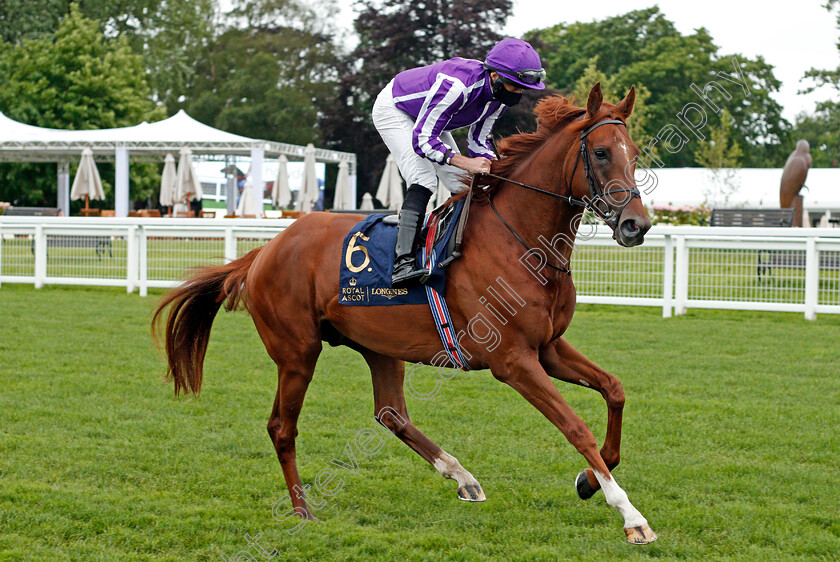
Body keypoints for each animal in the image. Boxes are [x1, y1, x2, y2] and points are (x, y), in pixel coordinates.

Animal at [154, 84, 660, 544]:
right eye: (600, 152)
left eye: (634, 153)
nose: (636, 225)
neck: (521, 243)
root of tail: (264, 251)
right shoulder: (514, 361)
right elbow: (576, 427)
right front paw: (632, 517)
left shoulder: (548, 347)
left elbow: (614, 390)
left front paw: (589, 481)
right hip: (297, 352)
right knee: (283, 427)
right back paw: (302, 510)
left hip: (379, 346)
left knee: (390, 412)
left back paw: (461, 476)